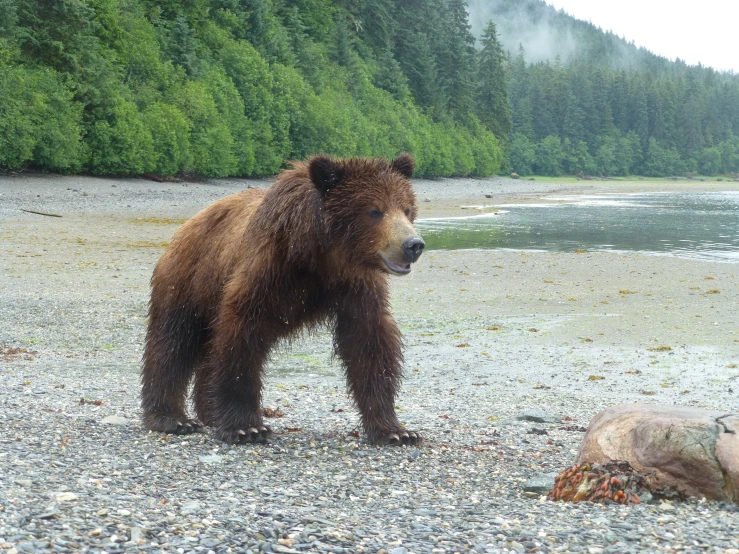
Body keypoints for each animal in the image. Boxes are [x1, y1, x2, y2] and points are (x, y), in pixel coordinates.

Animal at [141, 154, 424, 444]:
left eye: (406, 209)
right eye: (375, 211)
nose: (413, 245)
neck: (318, 255)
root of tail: (189, 224)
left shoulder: (356, 286)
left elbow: (369, 342)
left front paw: (396, 430)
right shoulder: (268, 269)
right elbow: (241, 336)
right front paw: (247, 428)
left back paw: (209, 411)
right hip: (190, 279)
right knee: (173, 342)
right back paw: (171, 418)